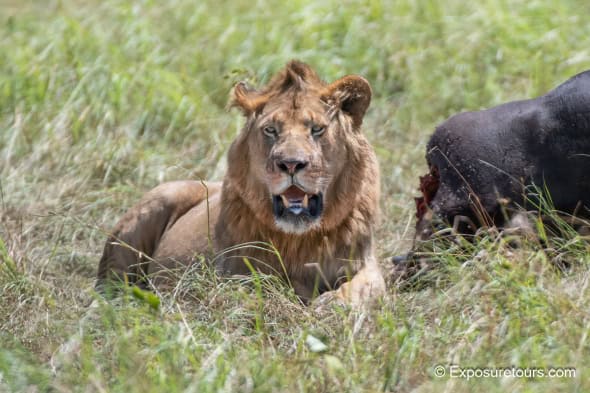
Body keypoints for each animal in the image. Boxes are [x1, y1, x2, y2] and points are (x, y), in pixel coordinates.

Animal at [96, 60, 388, 306]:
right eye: (271, 130)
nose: (291, 164)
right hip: (152, 209)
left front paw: (331, 304)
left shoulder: (365, 263)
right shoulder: (228, 275)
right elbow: (264, 286)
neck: (299, 240)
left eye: (317, 129)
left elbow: (368, 286)